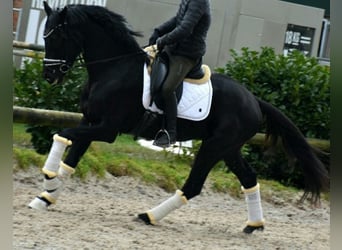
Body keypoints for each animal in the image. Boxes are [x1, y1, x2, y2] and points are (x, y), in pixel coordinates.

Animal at [29, 1, 328, 232]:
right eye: (45, 36)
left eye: (57, 37)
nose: (49, 76)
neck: (114, 69)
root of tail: (254, 100)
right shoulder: (89, 122)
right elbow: (71, 159)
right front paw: (46, 197)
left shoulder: (107, 129)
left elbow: (61, 135)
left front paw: (49, 179)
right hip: (229, 148)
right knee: (249, 178)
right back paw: (253, 226)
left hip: (214, 146)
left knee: (194, 185)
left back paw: (149, 216)